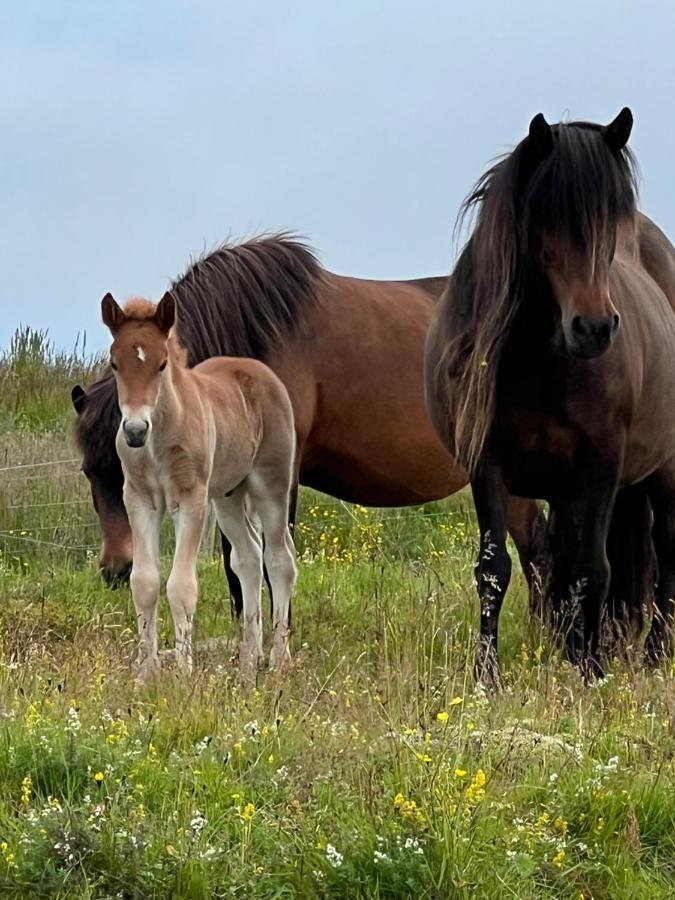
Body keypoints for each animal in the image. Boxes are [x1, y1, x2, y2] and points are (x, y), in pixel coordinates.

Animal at [101, 292, 298, 680]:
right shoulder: (139, 500)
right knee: (248, 557)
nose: (135, 431)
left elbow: (181, 586)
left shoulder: (190, 500)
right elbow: (144, 583)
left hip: (271, 485)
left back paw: (279, 660)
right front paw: (146, 674)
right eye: (115, 364)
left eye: (162, 364)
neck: (159, 440)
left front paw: (182, 674)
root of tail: (263, 373)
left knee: (280, 558)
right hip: (228, 496)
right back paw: (248, 663)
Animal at [426, 109, 675, 684]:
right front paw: (488, 676)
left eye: (612, 219)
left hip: (663, 472)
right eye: (546, 218)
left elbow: (593, 568)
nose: (595, 328)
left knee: (665, 558)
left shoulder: (604, 463)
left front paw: (592, 673)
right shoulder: (488, 464)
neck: (540, 359)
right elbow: (495, 569)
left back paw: (654, 656)